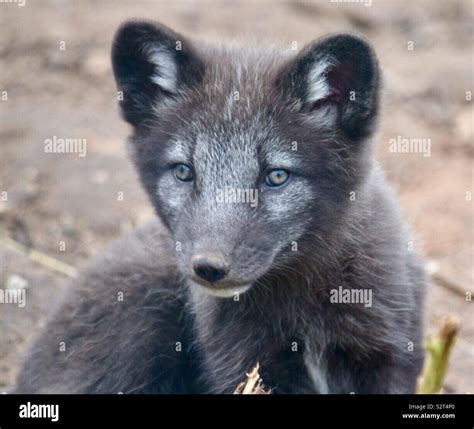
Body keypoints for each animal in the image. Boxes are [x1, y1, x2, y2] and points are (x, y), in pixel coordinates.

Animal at [14, 20, 426, 394]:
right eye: (184, 171)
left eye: (276, 176)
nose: (209, 267)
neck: (303, 308)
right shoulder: (240, 366)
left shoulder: (390, 356)